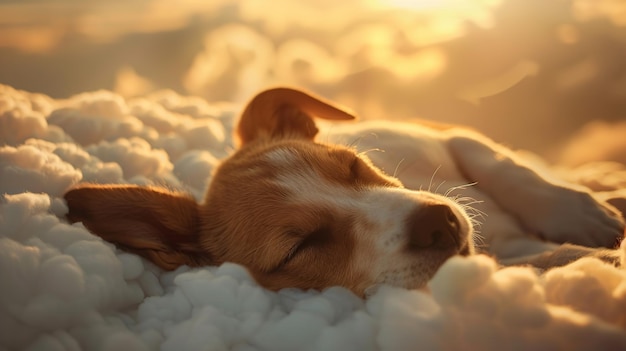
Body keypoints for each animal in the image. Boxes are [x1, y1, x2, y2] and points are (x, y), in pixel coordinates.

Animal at [64, 87, 624, 296]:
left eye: (353, 166)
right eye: (300, 247)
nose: (439, 222)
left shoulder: (445, 135)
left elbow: (509, 167)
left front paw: (583, 215)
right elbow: (545, 262)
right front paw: (590, 259)